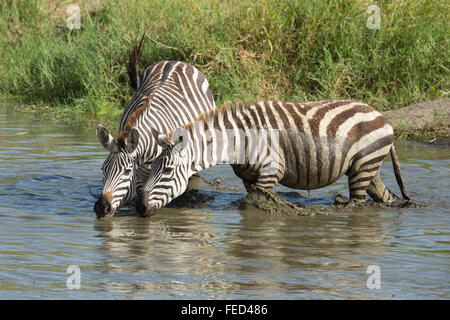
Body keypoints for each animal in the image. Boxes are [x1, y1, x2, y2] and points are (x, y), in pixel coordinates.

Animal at [134, 99, 412, 216]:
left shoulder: (270, 172)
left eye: (167, 172)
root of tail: (383, 117)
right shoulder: (248, 178)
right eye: (150, 168)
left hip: (363, 167)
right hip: (367, 168)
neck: (239, 141)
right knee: (384, 197)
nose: (139, 208)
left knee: (359, 203)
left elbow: (254, 205)